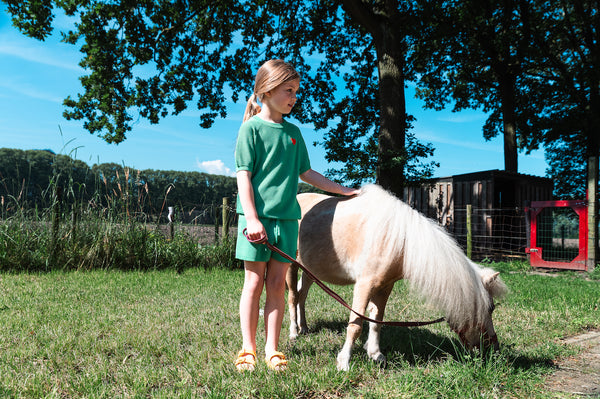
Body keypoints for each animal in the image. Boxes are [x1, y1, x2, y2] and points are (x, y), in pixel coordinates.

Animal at [286, 184, 506, 372]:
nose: (493, 350)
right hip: (290, 266)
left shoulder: (384, 286)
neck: (400, 240)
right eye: (490, 308)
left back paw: (304, 327)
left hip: (310, 270)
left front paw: (375, 355)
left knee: (302, 296)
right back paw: (294, 332)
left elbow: (376, 321)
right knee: (293, 297)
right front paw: (344, 363)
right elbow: (355, 325)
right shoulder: (364, 286)